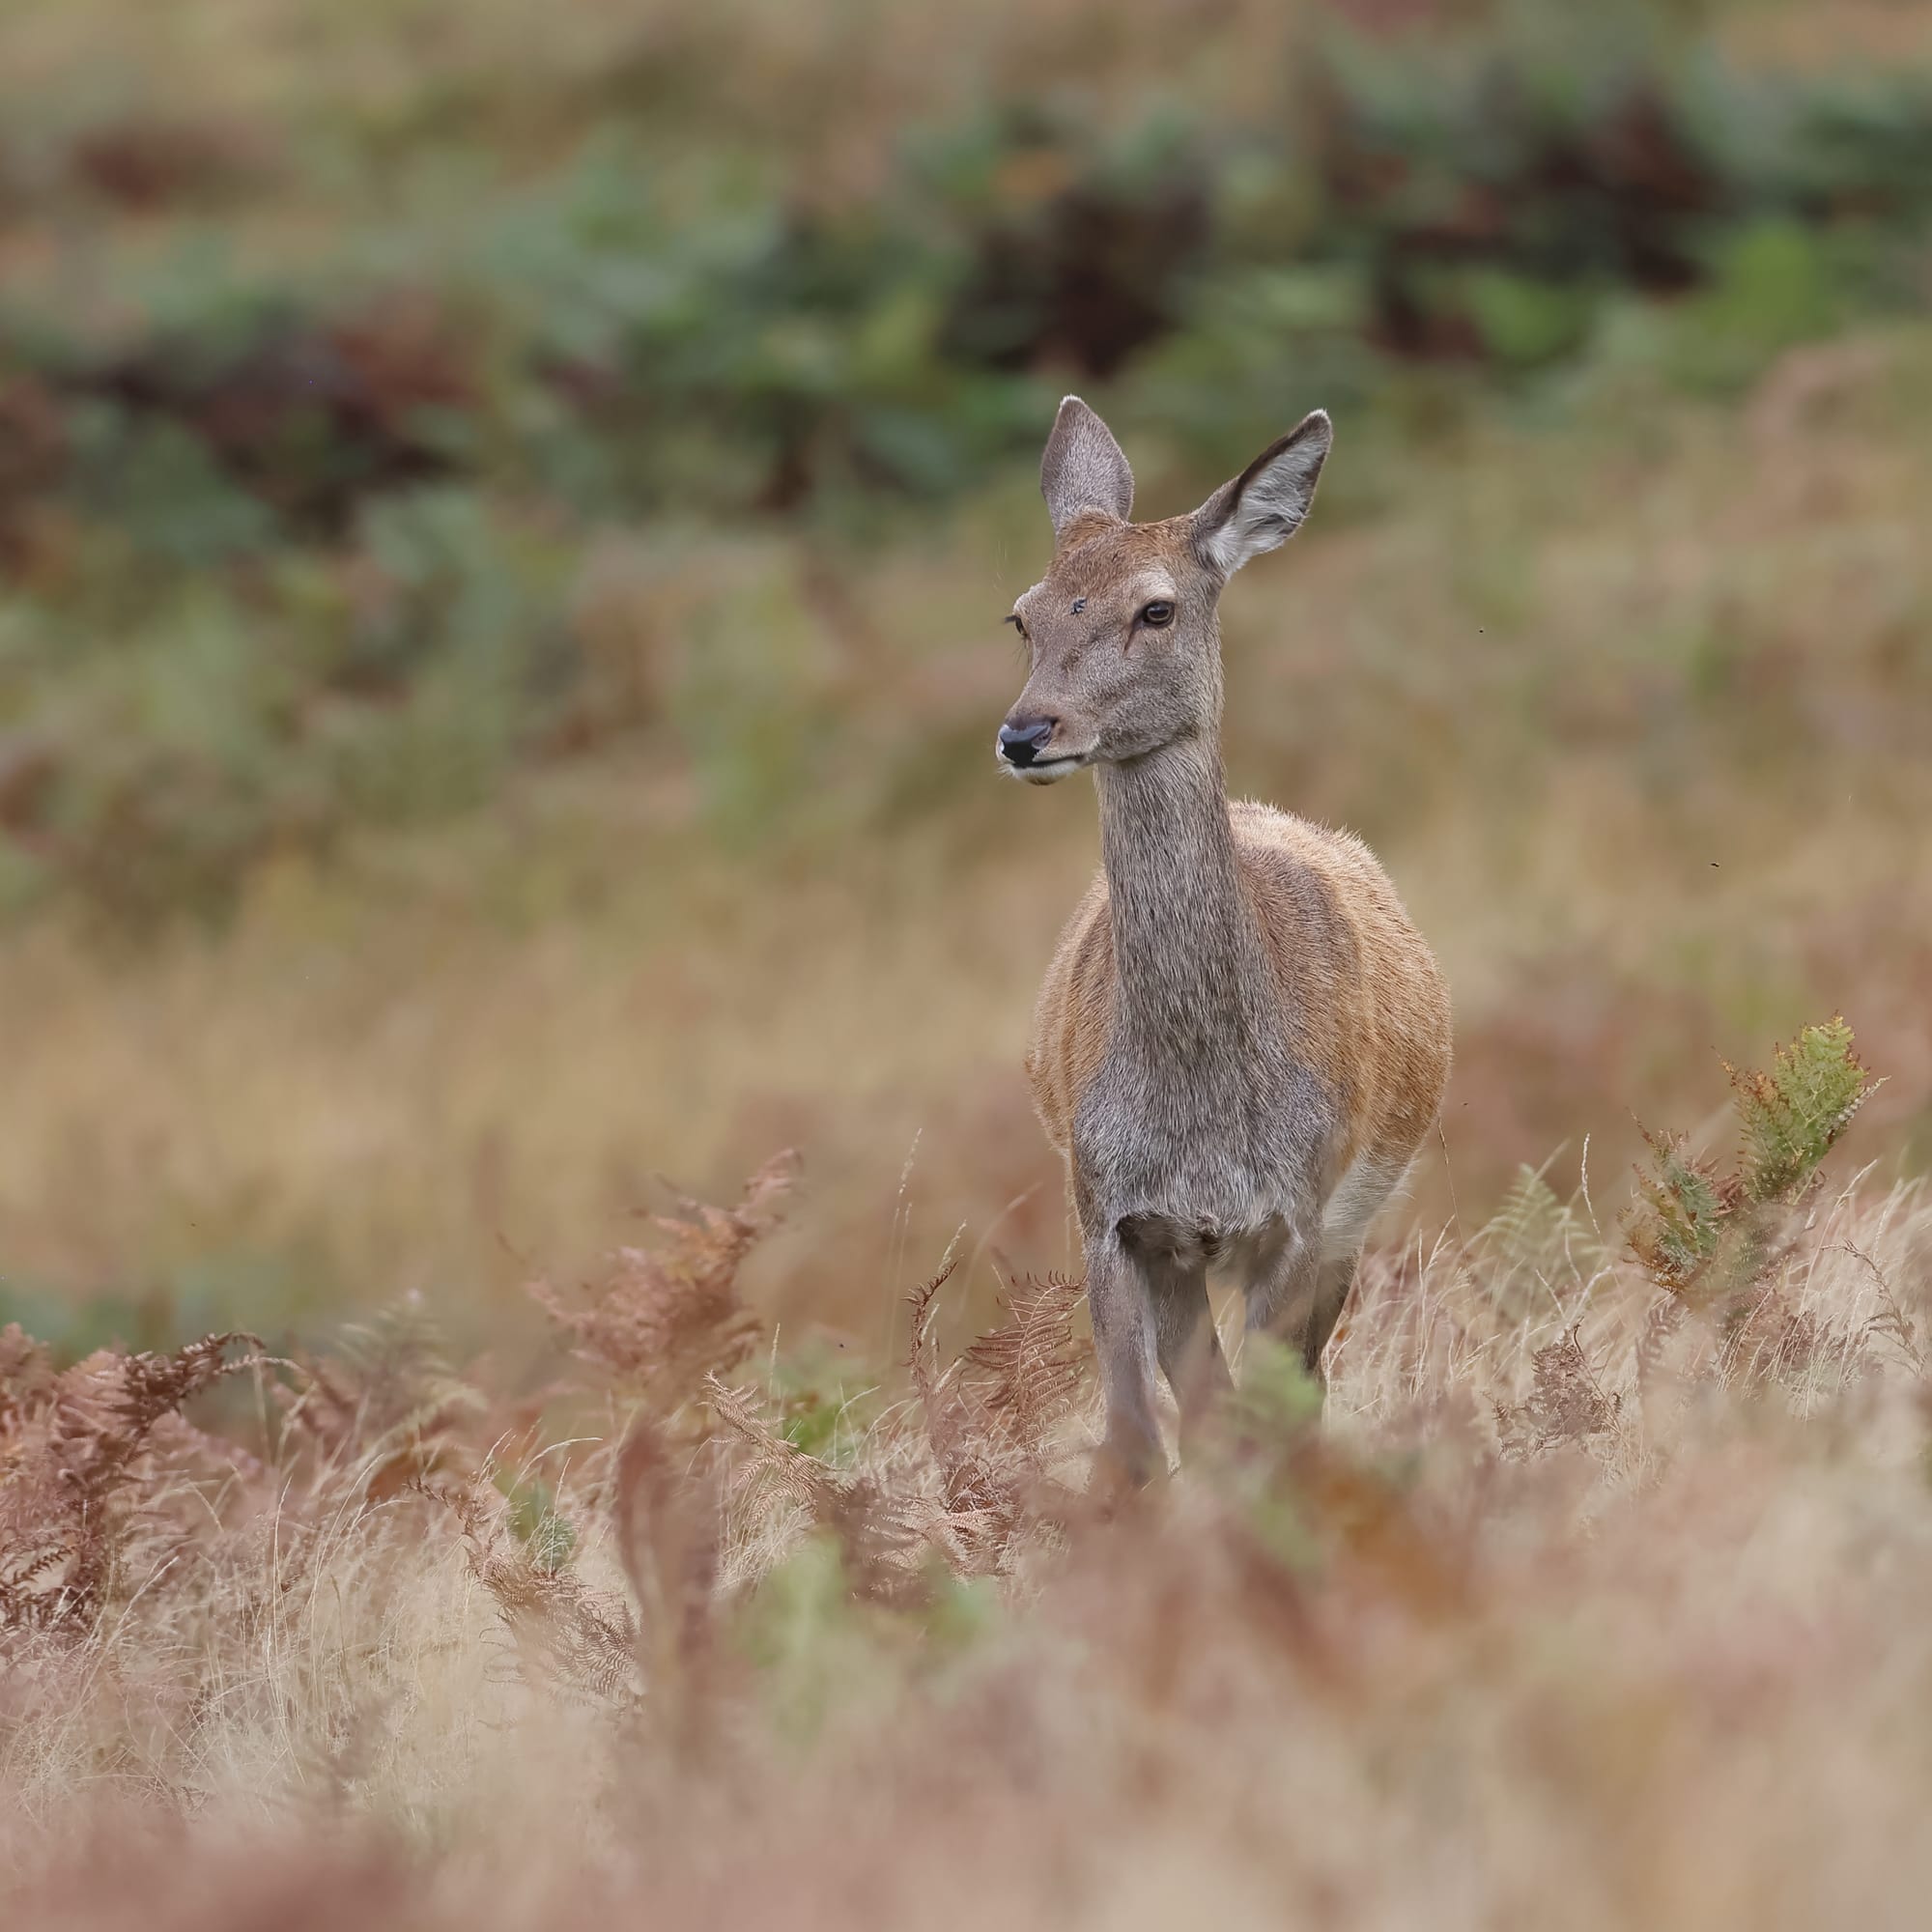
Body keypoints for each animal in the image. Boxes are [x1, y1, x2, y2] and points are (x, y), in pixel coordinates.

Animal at [997, 392, 1453, 1476]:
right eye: (1022, 614)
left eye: (1155, 608)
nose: (1025, 733)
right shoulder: (1110, 1209)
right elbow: (1136, 1442)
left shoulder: (1297, 1212)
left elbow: (1264, 1426)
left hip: (1351, 1226)